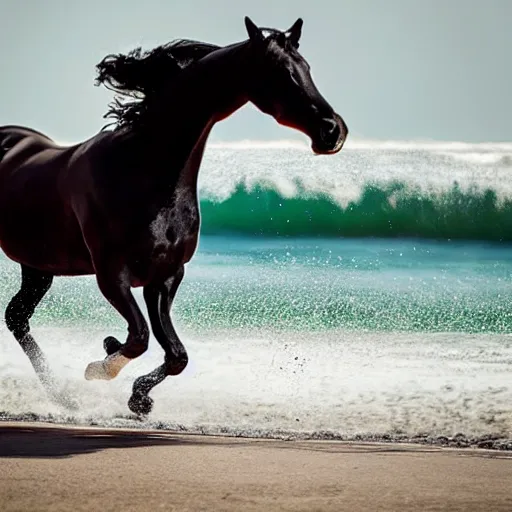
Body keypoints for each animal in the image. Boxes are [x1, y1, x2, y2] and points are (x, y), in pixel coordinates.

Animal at [0, 18, 348, 414]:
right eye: (280, 71)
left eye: (306, 67)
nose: (333, 130)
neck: (141, 168)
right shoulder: (112, 274)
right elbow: (138, 337)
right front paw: (100, 364)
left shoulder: (164, 276)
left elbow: (176, 354)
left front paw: (138, 397)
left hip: (37, 267)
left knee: (17, 317)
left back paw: (63, 396)